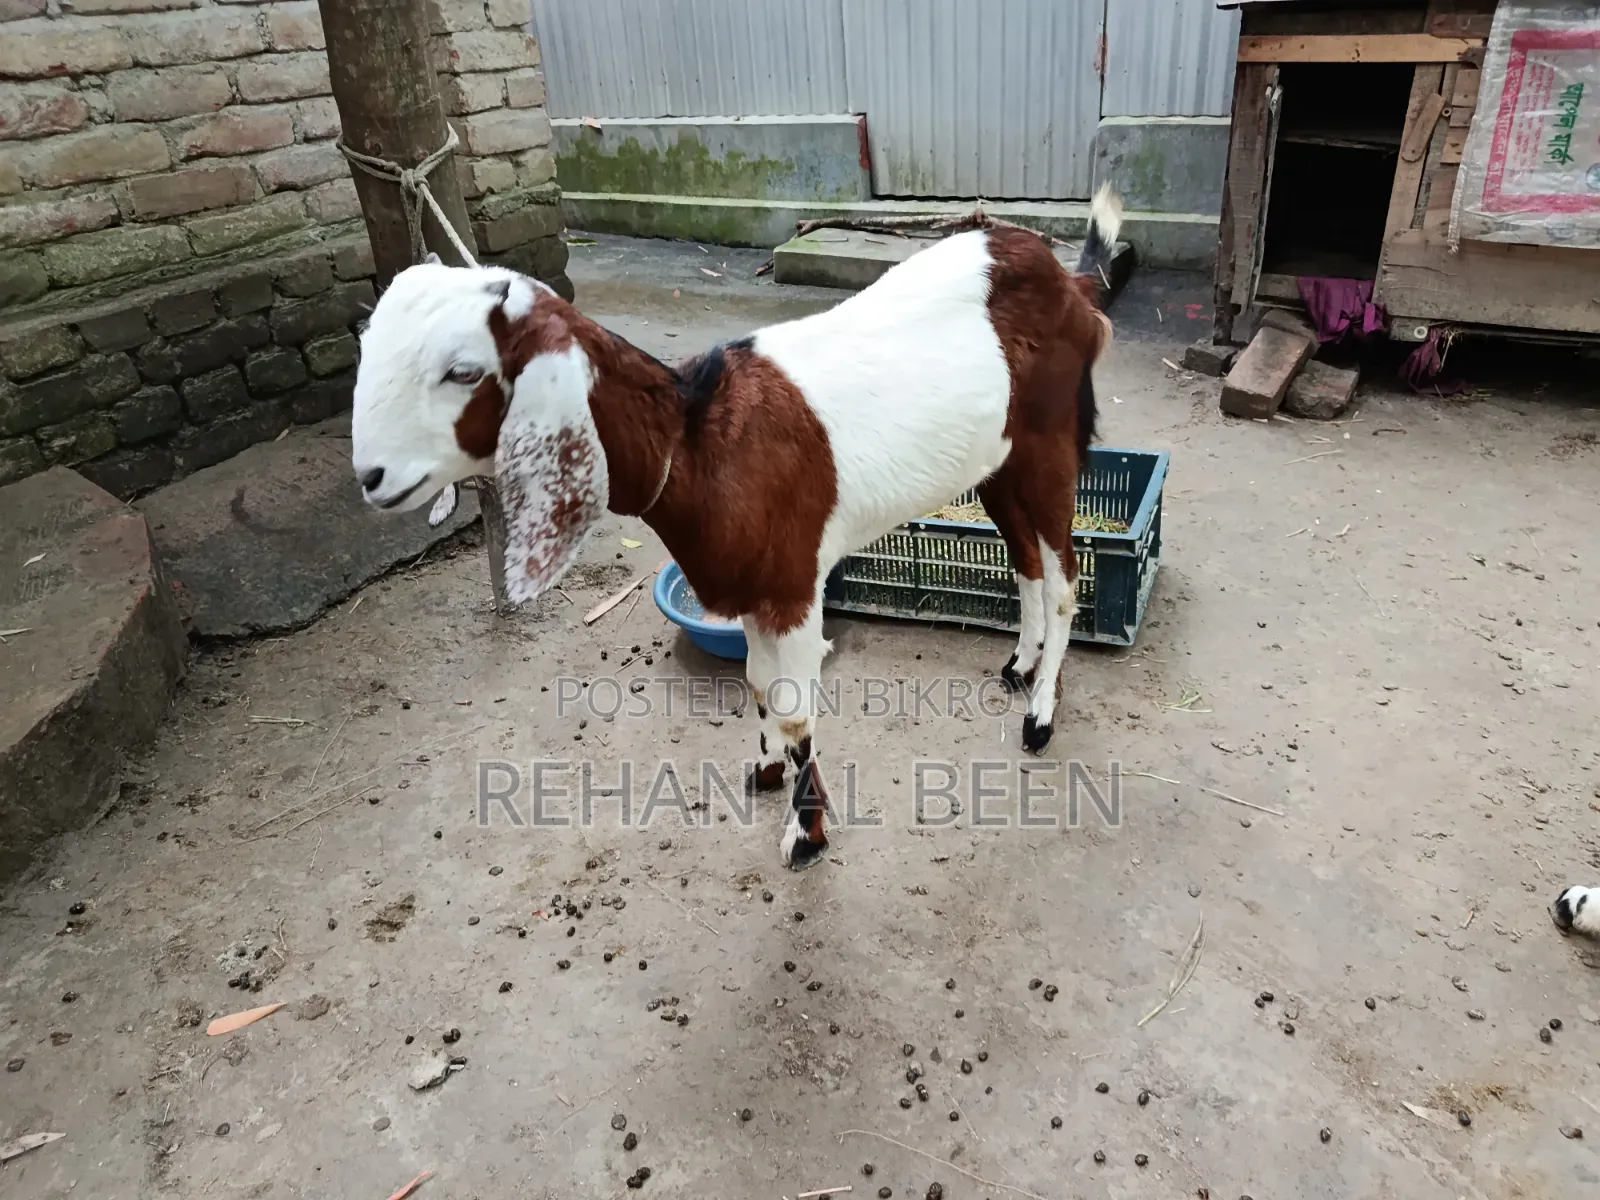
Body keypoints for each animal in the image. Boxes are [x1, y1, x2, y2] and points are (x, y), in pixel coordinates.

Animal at [349, 188, 1122, 868]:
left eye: (462, 370)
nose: (371, 476)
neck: (697, 445)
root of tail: (1072, 283)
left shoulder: (793, 588)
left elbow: (797, 709)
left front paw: (806, 836)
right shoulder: (752, 585)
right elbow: (756, 684)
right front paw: (767, 769)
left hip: (1050, 445)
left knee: (1062, 580)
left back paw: (1040, 717)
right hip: (996, 461)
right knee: (1023, 558)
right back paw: (1020, 666)